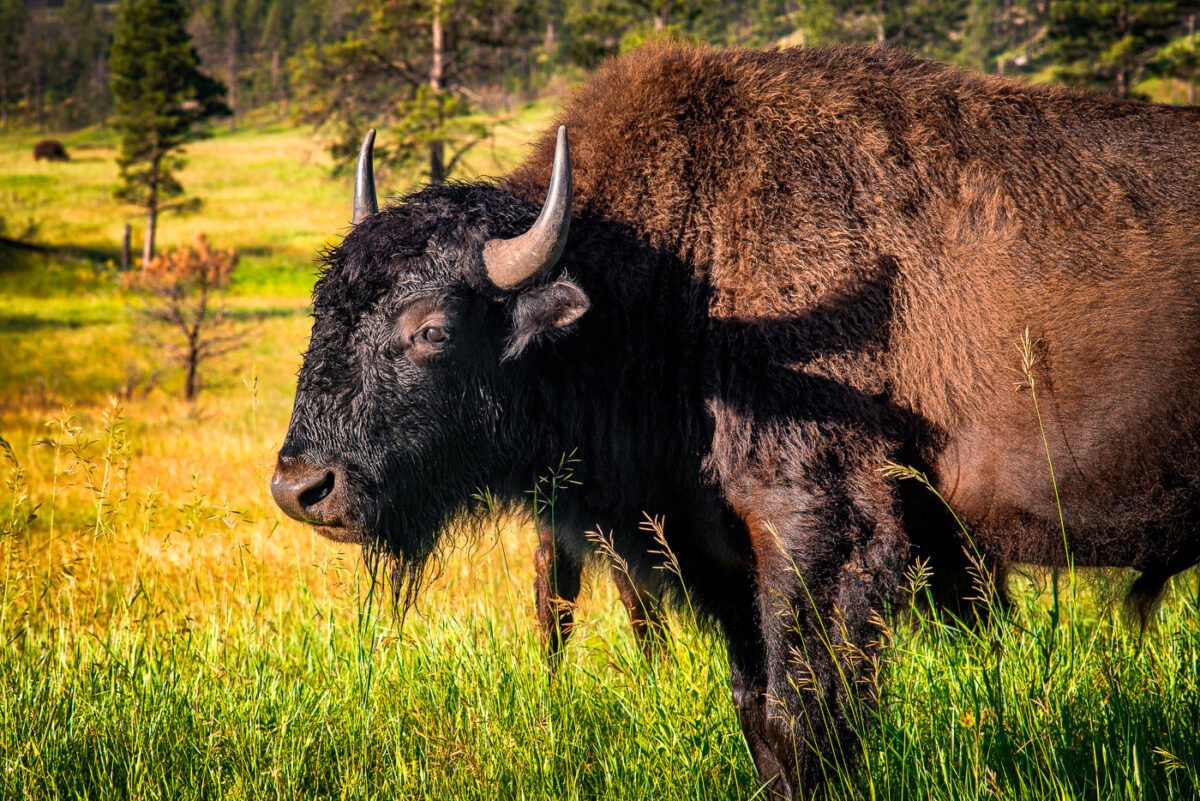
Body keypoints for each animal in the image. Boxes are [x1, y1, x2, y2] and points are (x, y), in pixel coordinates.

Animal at [272, 45, 1200, 801]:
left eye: (432, 328)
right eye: (322, 309)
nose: (302, 486)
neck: (681, 275)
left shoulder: (821, 533)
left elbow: (805, 720)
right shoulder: (723, 563)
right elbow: (758, 723)